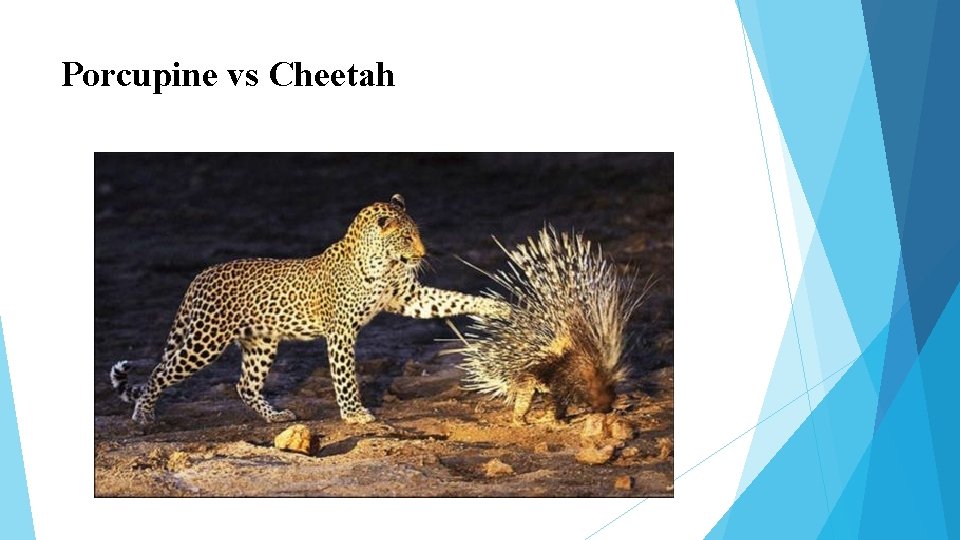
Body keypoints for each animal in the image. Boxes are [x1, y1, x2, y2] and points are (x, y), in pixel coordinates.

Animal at [109, 194, 508, 425]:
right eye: (408, 236)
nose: (423, 254)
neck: (381, 262)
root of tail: (200, 276)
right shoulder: (342, 331)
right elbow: (345, 376)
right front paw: (354, 415)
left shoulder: (408, 297)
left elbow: (453, 299)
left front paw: (497, 308)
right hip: (205, 341)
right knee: (160, 372)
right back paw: (143, 414)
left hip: (261, 343)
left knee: (245, 385)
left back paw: (276, 416)